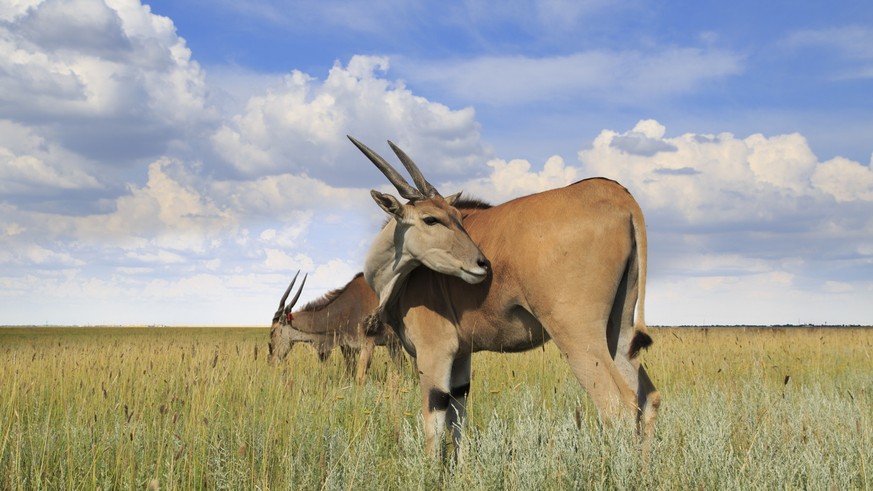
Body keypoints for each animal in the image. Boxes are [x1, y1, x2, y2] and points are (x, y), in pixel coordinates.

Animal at [268, 270, 404, 382]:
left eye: (272, 331)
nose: (271, 361)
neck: (347, 308)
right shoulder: (347, 348)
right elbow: (350, 374)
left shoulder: (368, 345)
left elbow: (359, 379)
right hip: (394, 345)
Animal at [350, 135, 656, 458]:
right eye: (431, 219)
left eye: (457, 217)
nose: (481, 264)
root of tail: (619, 196)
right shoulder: (461, 357)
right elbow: (457, 421)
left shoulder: (435, 353)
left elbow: (434, 425)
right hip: (618, 331)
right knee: (648, 399)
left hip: (578, 337)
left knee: (619, 405)